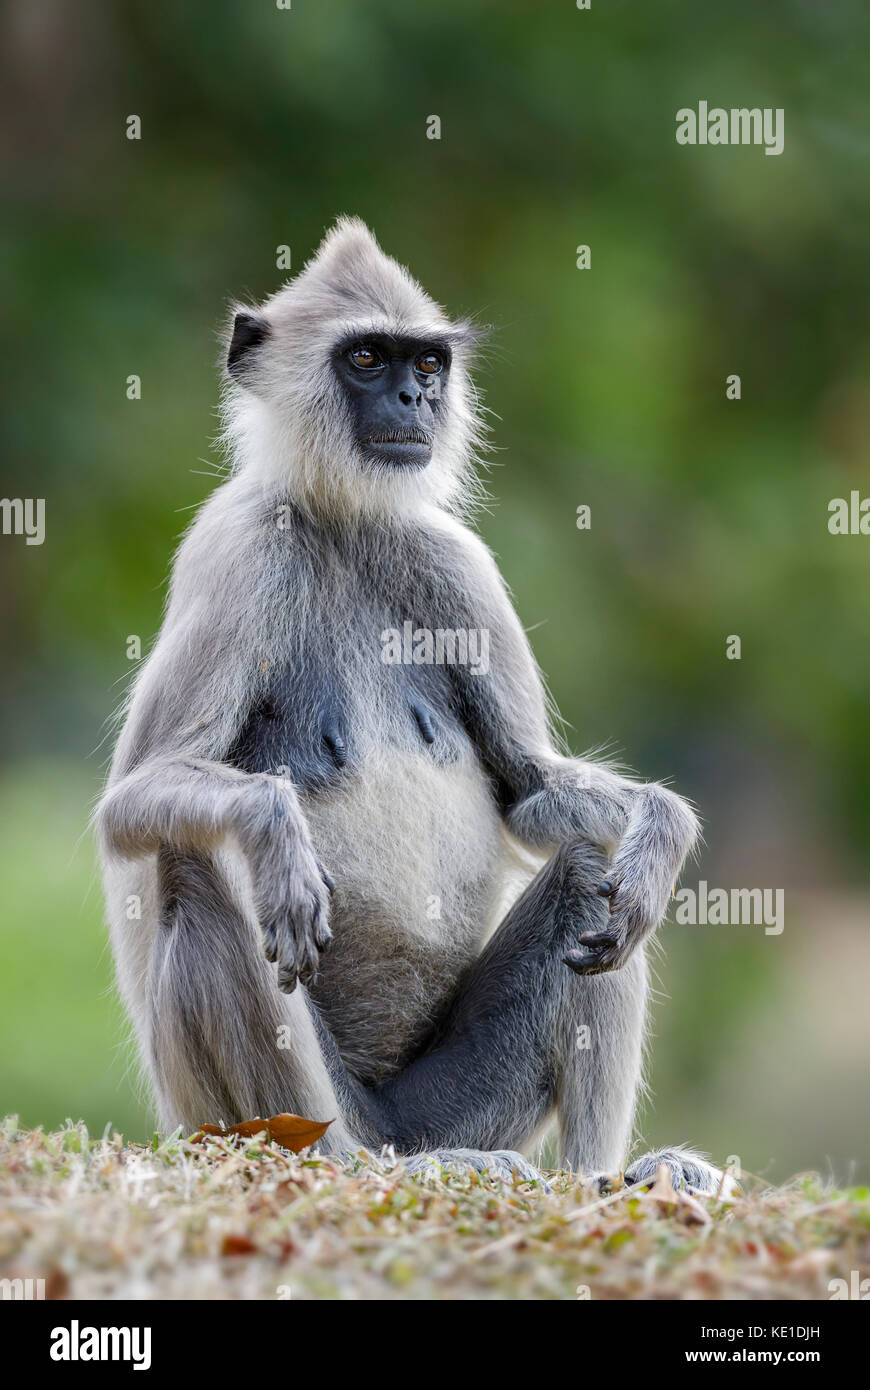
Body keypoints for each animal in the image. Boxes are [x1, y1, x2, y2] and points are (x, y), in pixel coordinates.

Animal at [97, 216, 722, 1195]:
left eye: (427, 363)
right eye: (366, 357)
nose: (413, 399)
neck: (343, 522)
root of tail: (390, 1131)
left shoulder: (455, 563)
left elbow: (531, 793)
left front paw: (662, 829)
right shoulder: (236, 549)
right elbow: (132, 804)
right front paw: (275, 827)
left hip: (458, 1106)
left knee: (595, 870)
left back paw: (599, 1175)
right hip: (266, 1117)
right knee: (197, 865)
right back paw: (342, 1165)